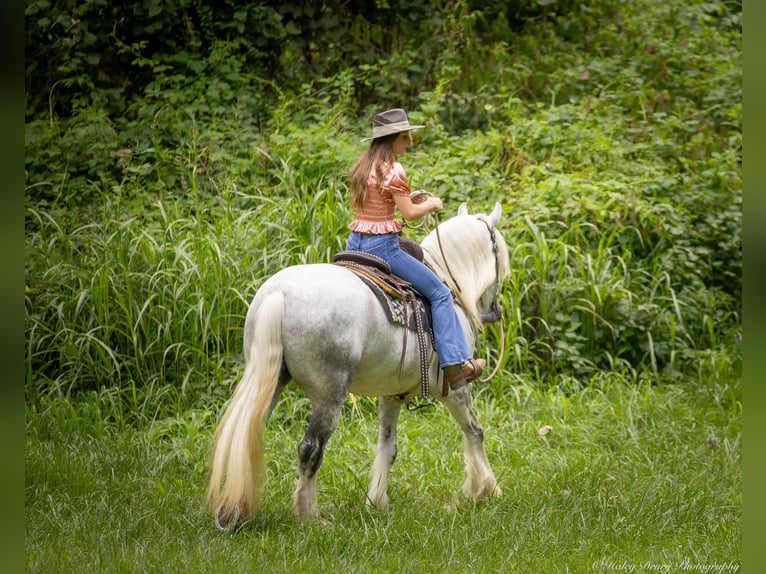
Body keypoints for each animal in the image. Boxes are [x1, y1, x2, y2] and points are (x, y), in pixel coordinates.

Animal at [207, 202, 512, 532]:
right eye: (499, 256)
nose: (495, 311)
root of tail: (280, 294)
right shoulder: (454, 388)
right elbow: (474, 432)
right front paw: (487, 490)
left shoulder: (391, 394)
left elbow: (388, 448)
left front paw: (376, 501)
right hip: (329, 395)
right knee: (310, 448)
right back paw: (308, 516)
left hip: (270, 381)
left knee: (246, 435)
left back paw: (235, 510)